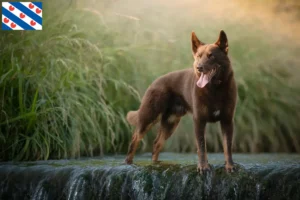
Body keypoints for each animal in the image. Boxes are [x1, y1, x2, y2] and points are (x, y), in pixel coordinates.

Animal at [124, 30, 237, 173]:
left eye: (211, 56)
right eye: (199, 56)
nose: (199, 67)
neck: (215, 89)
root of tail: (155, 82)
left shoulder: (227, 121)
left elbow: (228, 146)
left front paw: (230, 166)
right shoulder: (199, 121)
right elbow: (202, 147)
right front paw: (203, 167)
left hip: (170, 123)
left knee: (156, 143)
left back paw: (156, 164)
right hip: (149, 117)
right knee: (135, 138)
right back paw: (128, 163)